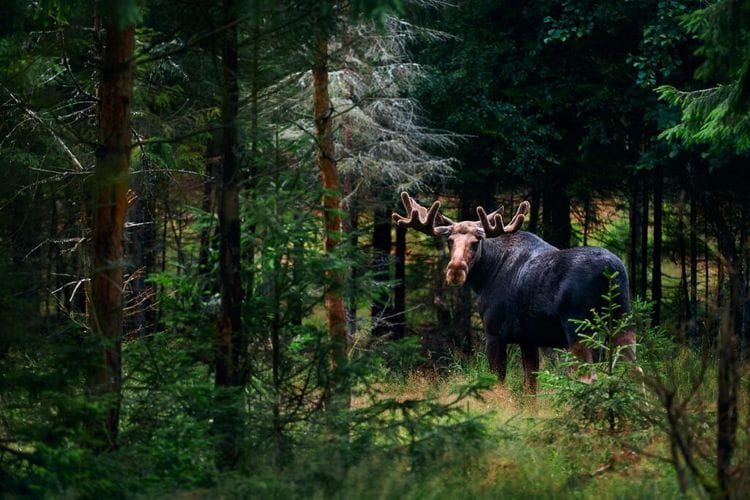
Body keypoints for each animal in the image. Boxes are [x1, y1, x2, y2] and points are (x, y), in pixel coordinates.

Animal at [392, 192, 637, 393]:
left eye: (476, 241)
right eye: (450, 240)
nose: (455, 270)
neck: (485, 276)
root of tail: (611, 271)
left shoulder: (494, 333)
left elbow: (498, 384)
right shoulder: (528, 339)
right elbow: (530, 389)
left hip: (579, 328)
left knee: (589, 377)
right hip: (623, 321)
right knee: (634, 372)